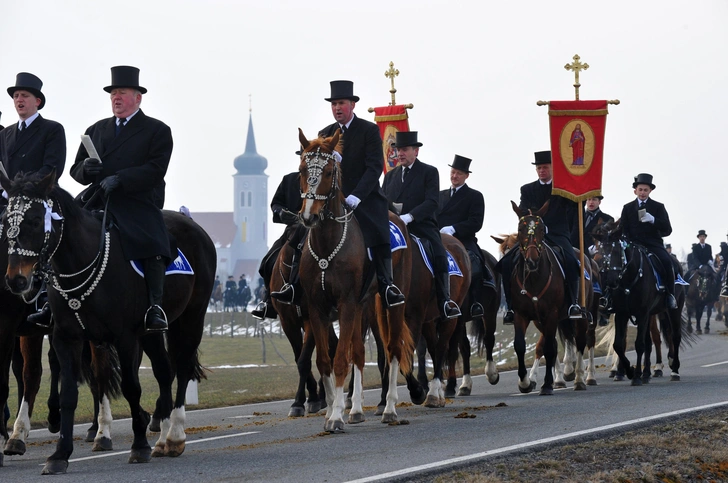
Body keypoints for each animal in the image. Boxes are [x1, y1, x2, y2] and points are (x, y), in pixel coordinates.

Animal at [0, 172, 216, 474]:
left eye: (33, 220)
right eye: (6, 220)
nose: (17, 280)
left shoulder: (123, 337)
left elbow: (130, 387)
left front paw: (138, 446)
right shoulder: (66, 337)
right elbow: (65, 392)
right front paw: (59, 454)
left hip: (190, 318)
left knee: (181, 368)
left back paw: (172, 436)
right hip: (149, 333)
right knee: (164, 371)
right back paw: (160, 437)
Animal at [292, 130, 412, 432]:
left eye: (328, 171)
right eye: (302, 170)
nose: (308, 216)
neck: (327, 244)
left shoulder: (345, 303)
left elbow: (339, 361)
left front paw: (335, 416)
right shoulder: (318, 308)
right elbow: (325, 360)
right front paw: (331, 412)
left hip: (391, 302)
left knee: (393, 348)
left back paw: (389, 409)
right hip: (363, 304)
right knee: (358, 351)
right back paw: (356, 410)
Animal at [506, 202, 592, 396]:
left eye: (540, 230)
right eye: (520, 229)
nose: (532, 260)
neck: (533, 278)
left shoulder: (551, 314)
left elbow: (550, 349)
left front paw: (546, 385)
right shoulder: (521, 315)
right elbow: (520, 345)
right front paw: (525, 382)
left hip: (581, 315)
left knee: (581, 342)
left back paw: (580, 378)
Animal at [592, 221, 688, 384]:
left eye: (616, 251)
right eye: (598, 255)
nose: (610, 281)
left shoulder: (642, 313)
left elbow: (639, 344)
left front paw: (635, 375)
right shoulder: (622, 314)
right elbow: (619, 344)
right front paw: (628, 371)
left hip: (673, 310)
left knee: (674, 336)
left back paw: (673, 370)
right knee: (652, 340)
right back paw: (647, 372)